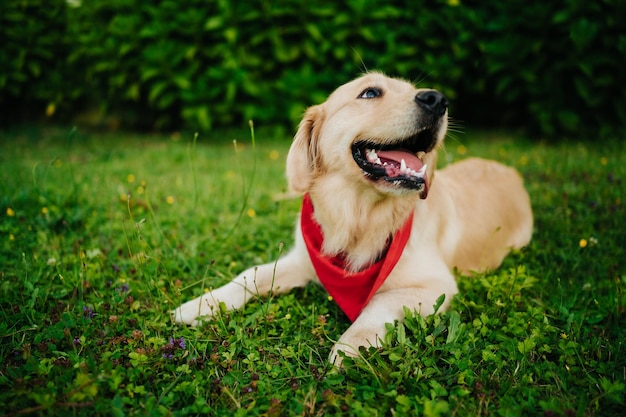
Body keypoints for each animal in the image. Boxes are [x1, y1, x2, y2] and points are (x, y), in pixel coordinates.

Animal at [172, 72, 532, 364]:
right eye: (370, 92)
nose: (437, 99)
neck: (357, 217)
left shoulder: (436, 284)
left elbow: (378, 304)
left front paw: (348, 348)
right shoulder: (304, 259)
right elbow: (251, 274)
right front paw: (200, 305)